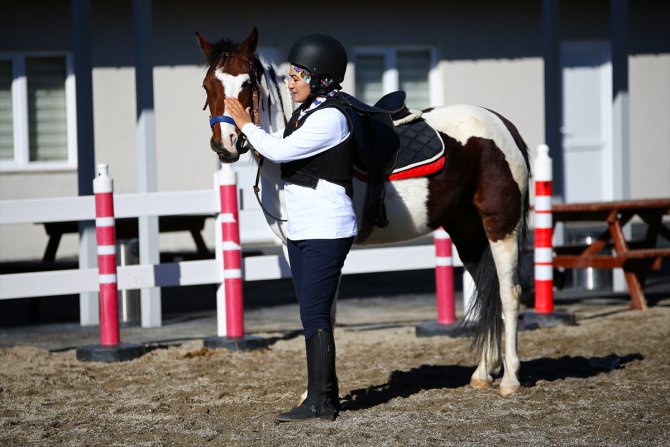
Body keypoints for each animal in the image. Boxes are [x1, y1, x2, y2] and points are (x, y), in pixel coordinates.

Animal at [194, 28, 532, 398]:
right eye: (208, 85)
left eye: (246, 84)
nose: (224, 144)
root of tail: (503, 126)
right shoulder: (294, 247)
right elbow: (315, 311)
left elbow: (325, 313)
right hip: (467, 231)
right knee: (487, 291)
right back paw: (483, 374)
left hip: (501, 226)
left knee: (509, 293)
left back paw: (511, 379)